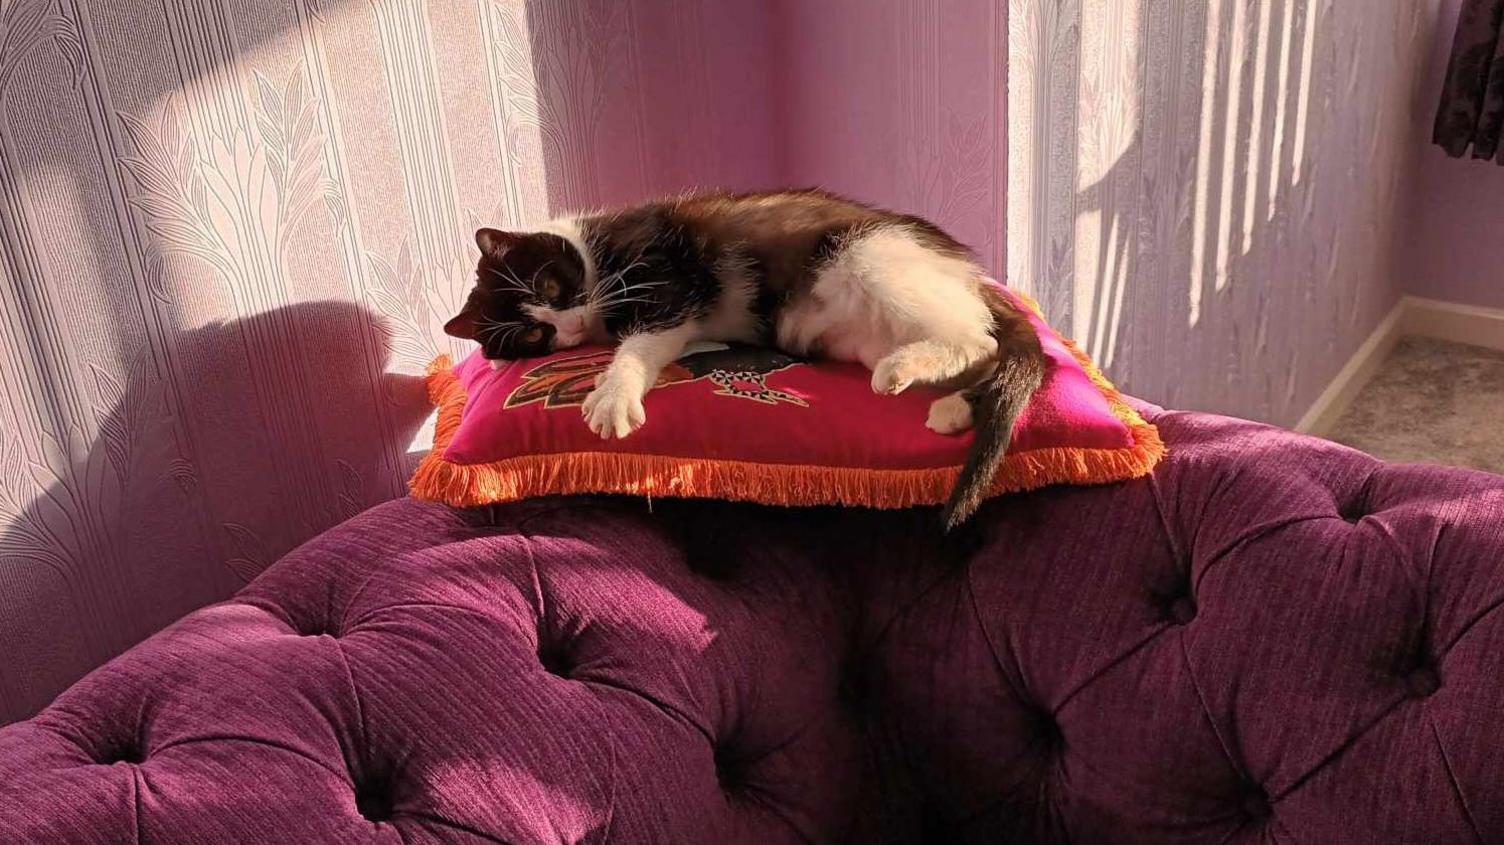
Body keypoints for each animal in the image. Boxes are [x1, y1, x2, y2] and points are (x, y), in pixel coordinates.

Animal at [439, 189, 1040, 526]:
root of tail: (966, 272)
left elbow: (644, 340)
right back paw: (953, 406)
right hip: (861, 333)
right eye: (531, 336)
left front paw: (611, 396)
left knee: (979, 338)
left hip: (867, 253)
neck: (593, 245)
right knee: (978, 350)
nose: (565, 326)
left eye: (549, 284)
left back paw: (910, 370)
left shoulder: (671, 280)